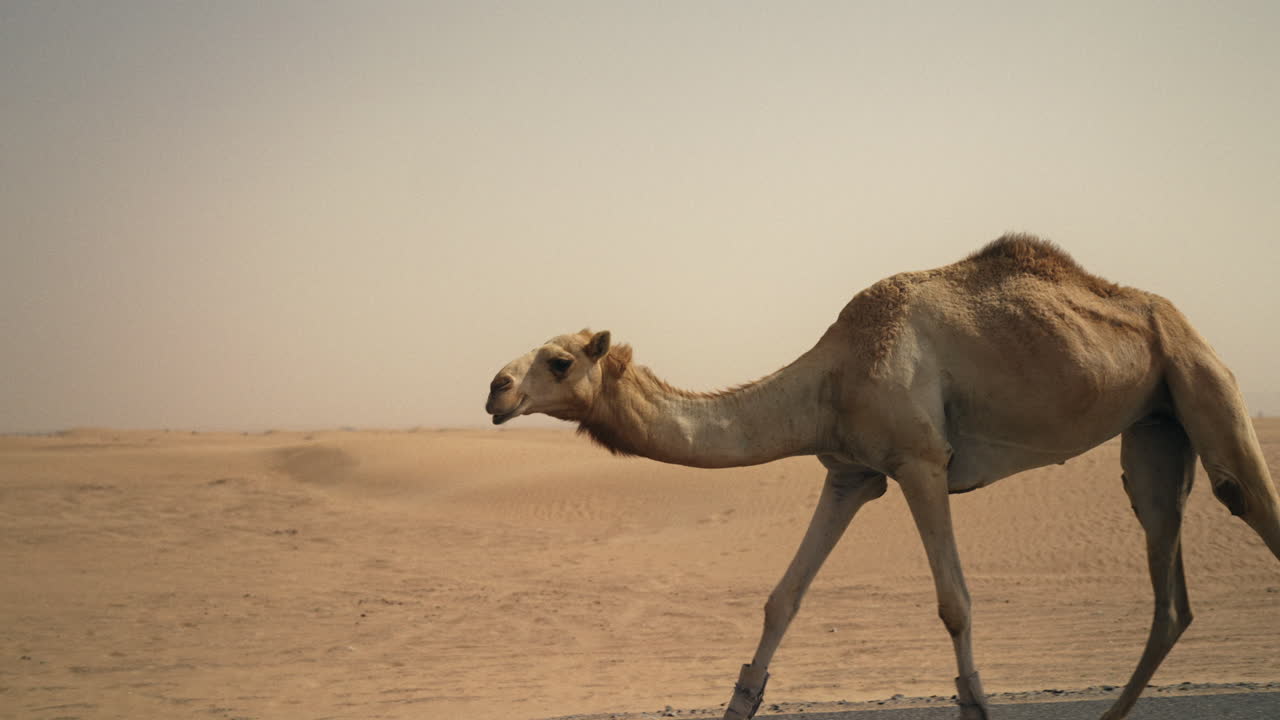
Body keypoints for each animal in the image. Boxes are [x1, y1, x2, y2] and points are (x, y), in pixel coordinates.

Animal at [483, 234, 1280, 720]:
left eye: (559, 361)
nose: (495, 389)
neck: (829, 380)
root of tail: (1178, 319)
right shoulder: (851, 475)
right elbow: (782, 599)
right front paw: (740, 701)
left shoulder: (921, 461)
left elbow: (955, 602)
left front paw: (976, 704)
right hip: (1155, 426)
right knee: (1169, 586)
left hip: (1201, 378)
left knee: (1245, 498)